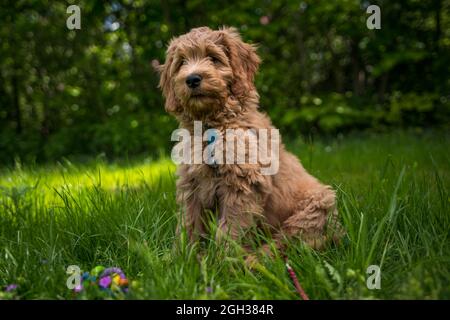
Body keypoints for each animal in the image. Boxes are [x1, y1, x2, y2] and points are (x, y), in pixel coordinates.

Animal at [158, 26, 342, 258]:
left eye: (213, 58)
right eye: (181, 62)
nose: (192, 79)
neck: (212, 126)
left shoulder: (243, 183)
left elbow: (230, 228)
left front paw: (223, 260)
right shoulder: (192, 185)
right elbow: (189, 223)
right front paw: (181, 258)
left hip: (314, 209)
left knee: (284, 244)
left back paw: (252, 261)